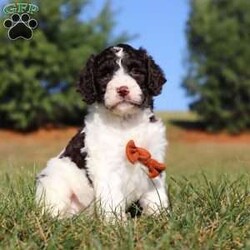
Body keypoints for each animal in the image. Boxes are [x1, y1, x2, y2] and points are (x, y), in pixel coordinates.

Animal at [35, 44, 170, 220]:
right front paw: (116, 223)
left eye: (135, 71)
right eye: (105, 75)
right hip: (54, 182)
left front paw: (160, 218)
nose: (122, 90)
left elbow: (155, 195)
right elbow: (112, 199)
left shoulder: (152, 159)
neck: (126, 123)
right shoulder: (106, 167)